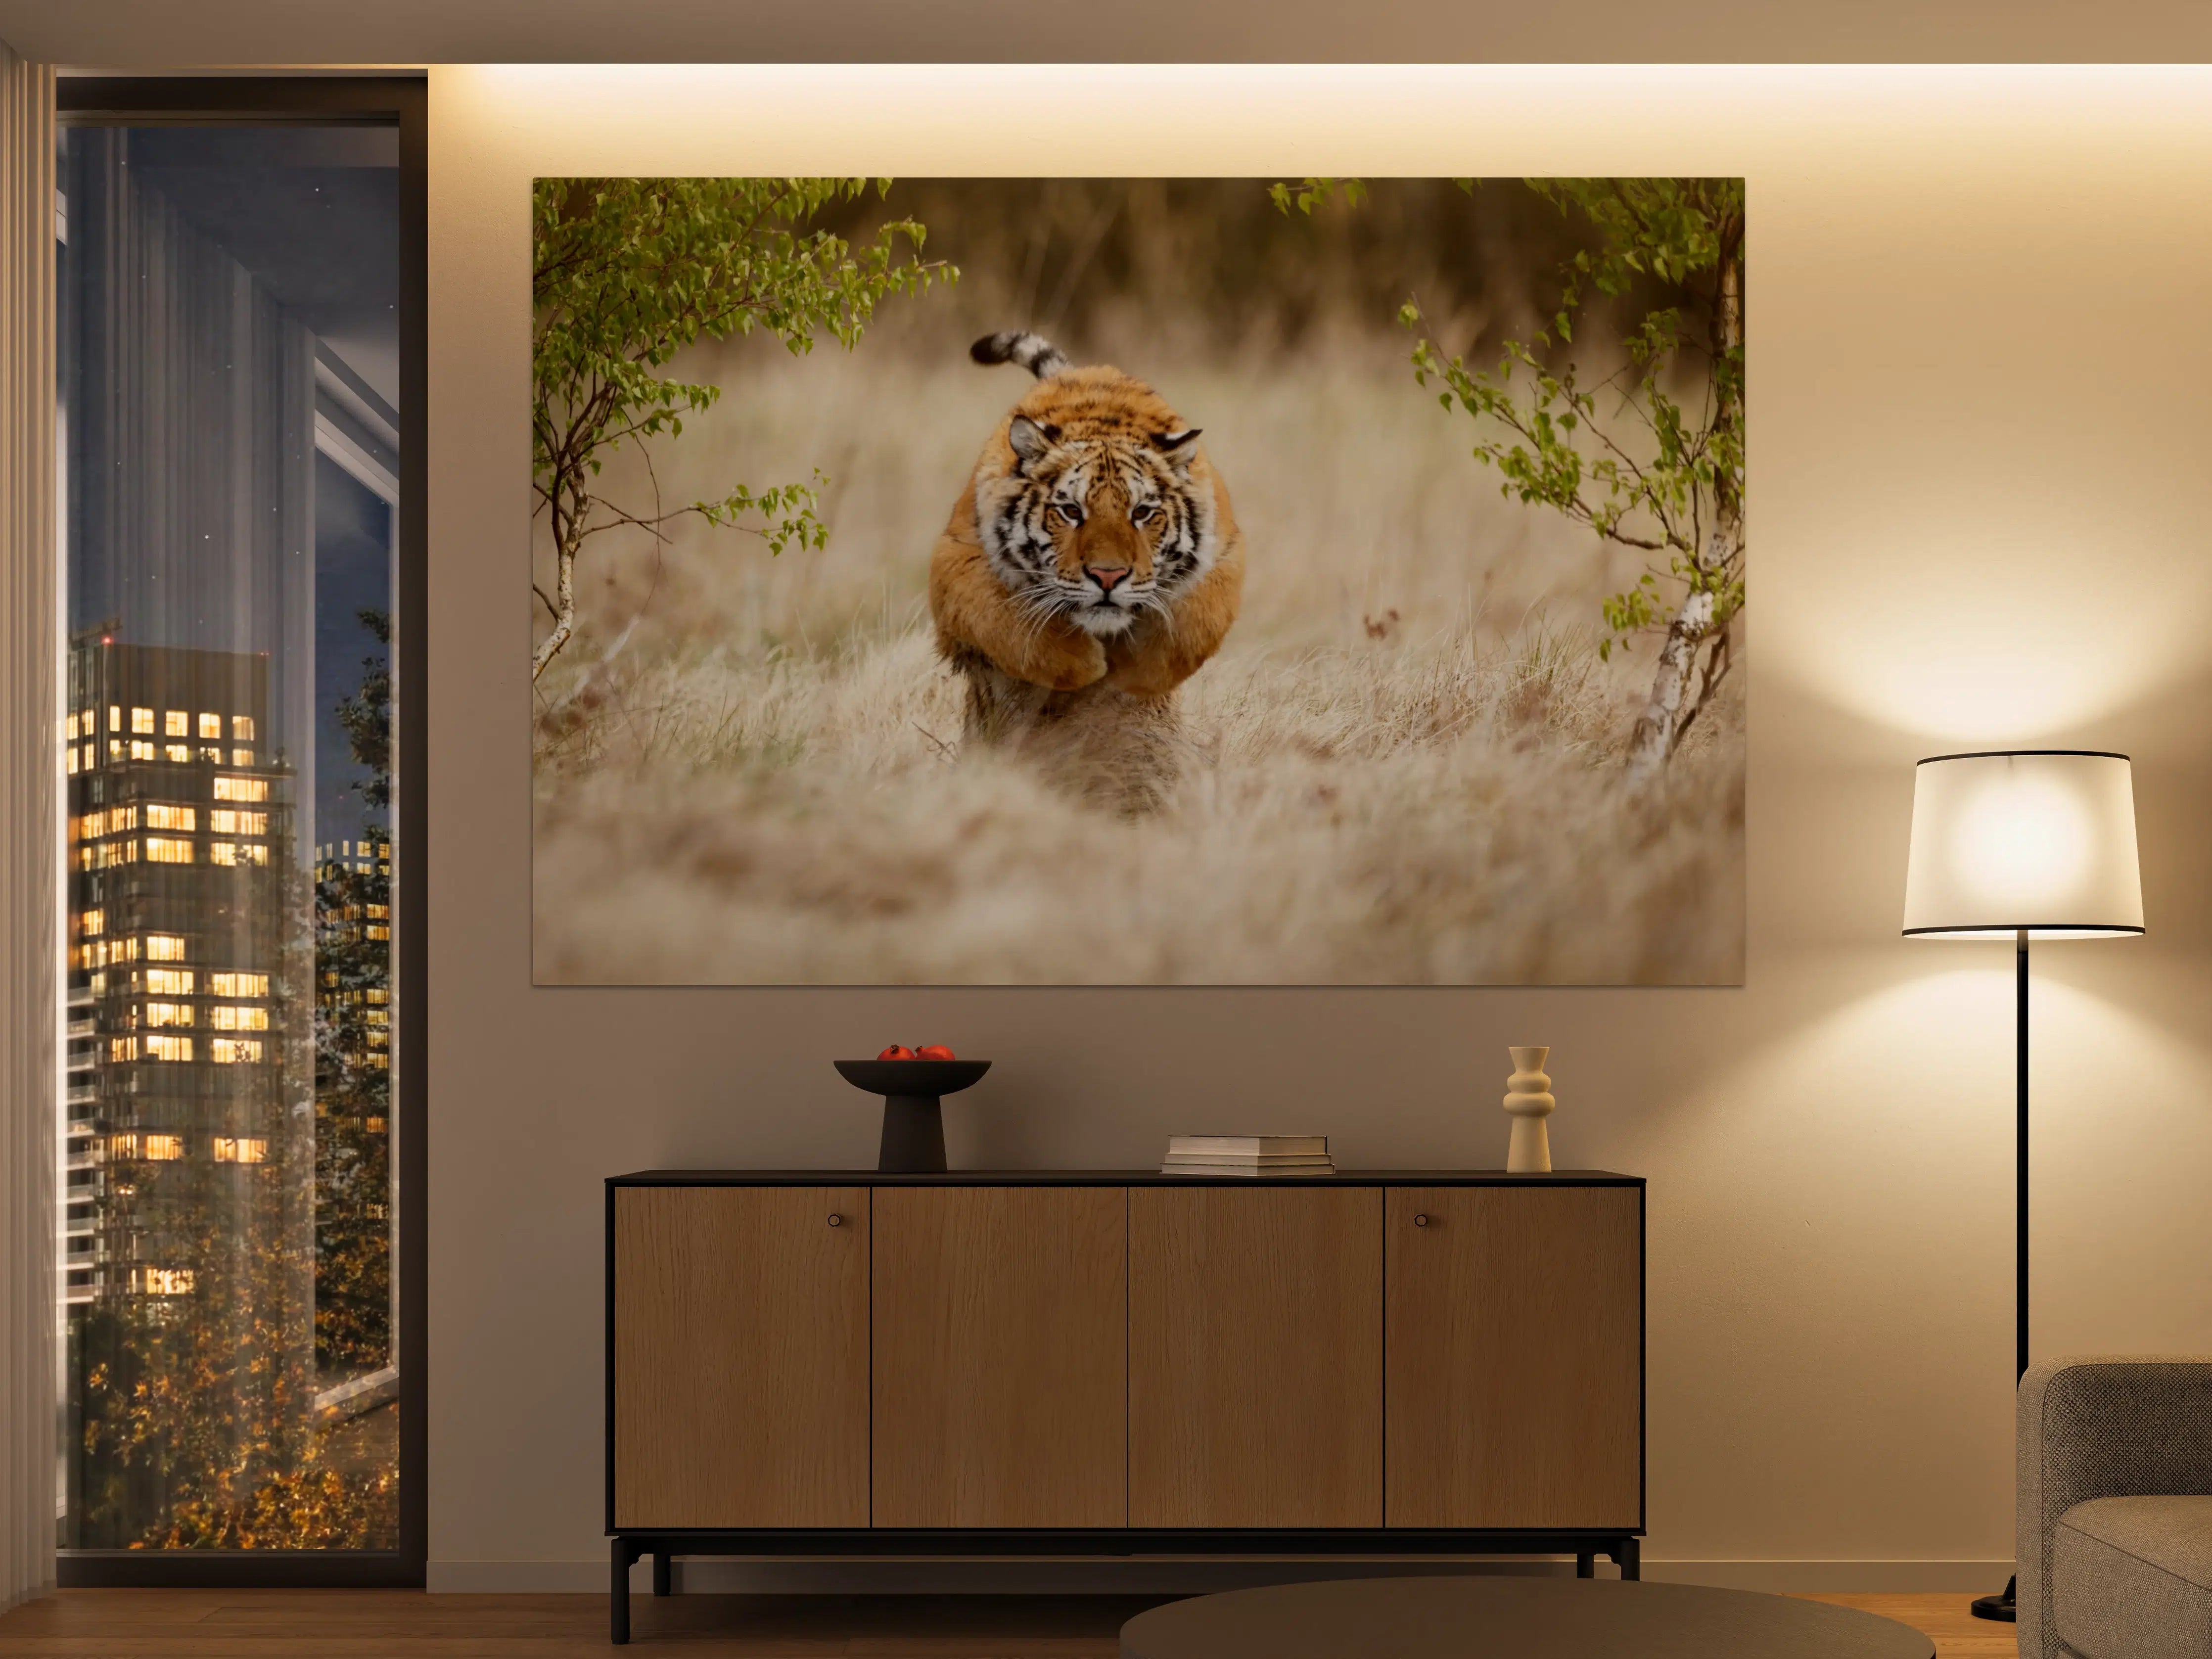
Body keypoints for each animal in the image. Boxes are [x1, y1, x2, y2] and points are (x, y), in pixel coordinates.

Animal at [928, 330, 1245, 739]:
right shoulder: (958, 561)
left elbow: (1194, 626)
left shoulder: (1225, 554)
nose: (1108, 577)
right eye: (1071, 512)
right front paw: (1087, 664)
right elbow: (1005, 623)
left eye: (1142, 513)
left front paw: (1134, 674)